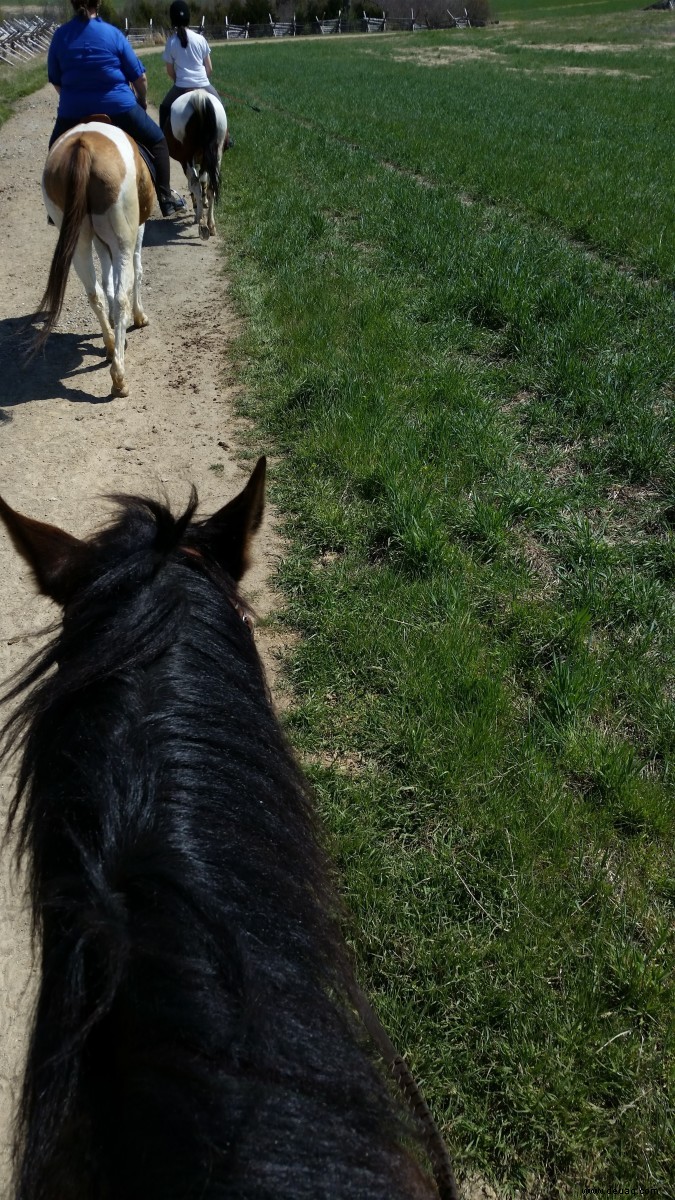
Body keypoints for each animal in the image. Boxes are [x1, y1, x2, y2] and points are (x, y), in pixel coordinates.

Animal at [39, 124, 154, 400]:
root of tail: (83, 145)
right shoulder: (137, 231)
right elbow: (137, 272)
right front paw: (139, 317)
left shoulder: (101, 242)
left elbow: (106, 279)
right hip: (121, 240)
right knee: (122, 295)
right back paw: (119, 377)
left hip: (79, 242)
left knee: (95, 294)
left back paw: (112, 344)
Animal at [164, 88, 227, 238]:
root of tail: (199, 96)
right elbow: (204, 182)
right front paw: (202, 204)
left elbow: (193, 184)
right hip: (217, 155)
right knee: (211, 188)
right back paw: (210, 224)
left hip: (186, 158)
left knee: (195, 184)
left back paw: (201, 221)